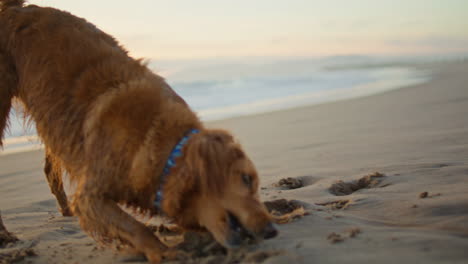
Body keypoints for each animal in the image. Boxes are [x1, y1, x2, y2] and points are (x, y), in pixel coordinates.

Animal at [0, 1, 276, 262]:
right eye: (246, 179)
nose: (272, 230)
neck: (162, 148)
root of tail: (16, 7)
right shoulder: (91, 196)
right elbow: (134, 226)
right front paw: (162, 251)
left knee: (50, 169)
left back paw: (65, 211)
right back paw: (6, 236)